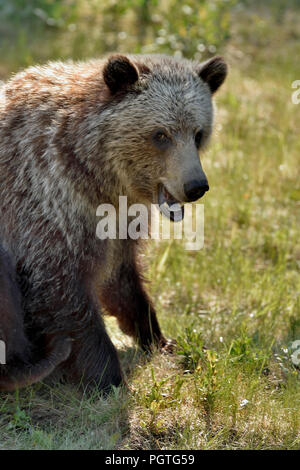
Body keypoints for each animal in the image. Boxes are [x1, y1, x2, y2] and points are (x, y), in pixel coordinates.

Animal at [0, 53, 226, 392]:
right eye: (161, 134)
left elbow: (121, 280)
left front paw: (157, 338)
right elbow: (63, 292)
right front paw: (108, 376)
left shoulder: (120, 222)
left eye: (198, 134)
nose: (195, 186)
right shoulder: (45, 204)